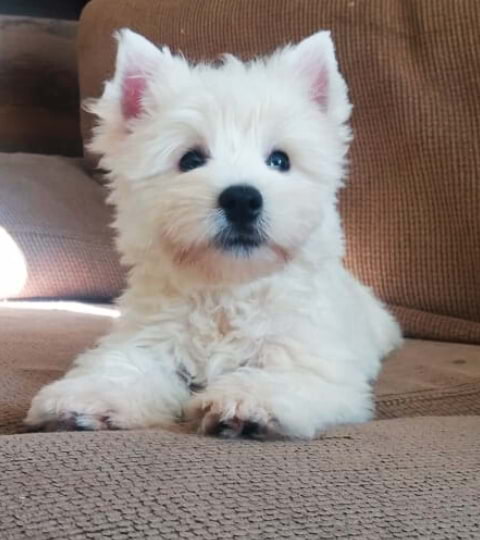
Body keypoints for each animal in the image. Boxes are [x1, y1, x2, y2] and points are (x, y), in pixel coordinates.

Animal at [26, 29, 402, 438]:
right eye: (190, 159)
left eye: (280, 160)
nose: (241, 199)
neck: (227, 291)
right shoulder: (150, 338)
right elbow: (126, 368)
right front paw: (86, 399)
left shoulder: (309, 357)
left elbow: (282, 378)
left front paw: (246, 403)